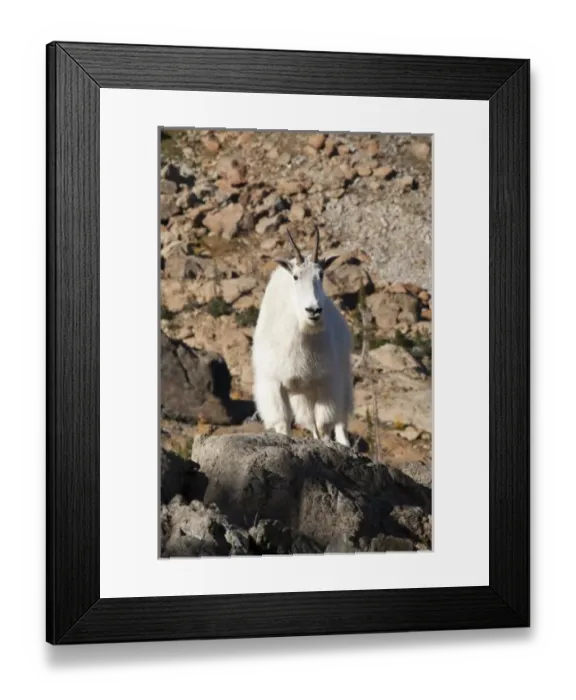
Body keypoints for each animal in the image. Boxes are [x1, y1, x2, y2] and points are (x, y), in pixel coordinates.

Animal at [251, 227, 353, 446]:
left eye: (321, 274)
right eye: (296, 276)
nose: (313, 310)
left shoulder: (327, 382)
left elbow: (325, 426)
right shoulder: (274, 383)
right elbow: (283, 423)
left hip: (341, 379)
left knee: (340, 420)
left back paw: (344, 445)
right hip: (302, 394)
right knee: (311, 422)